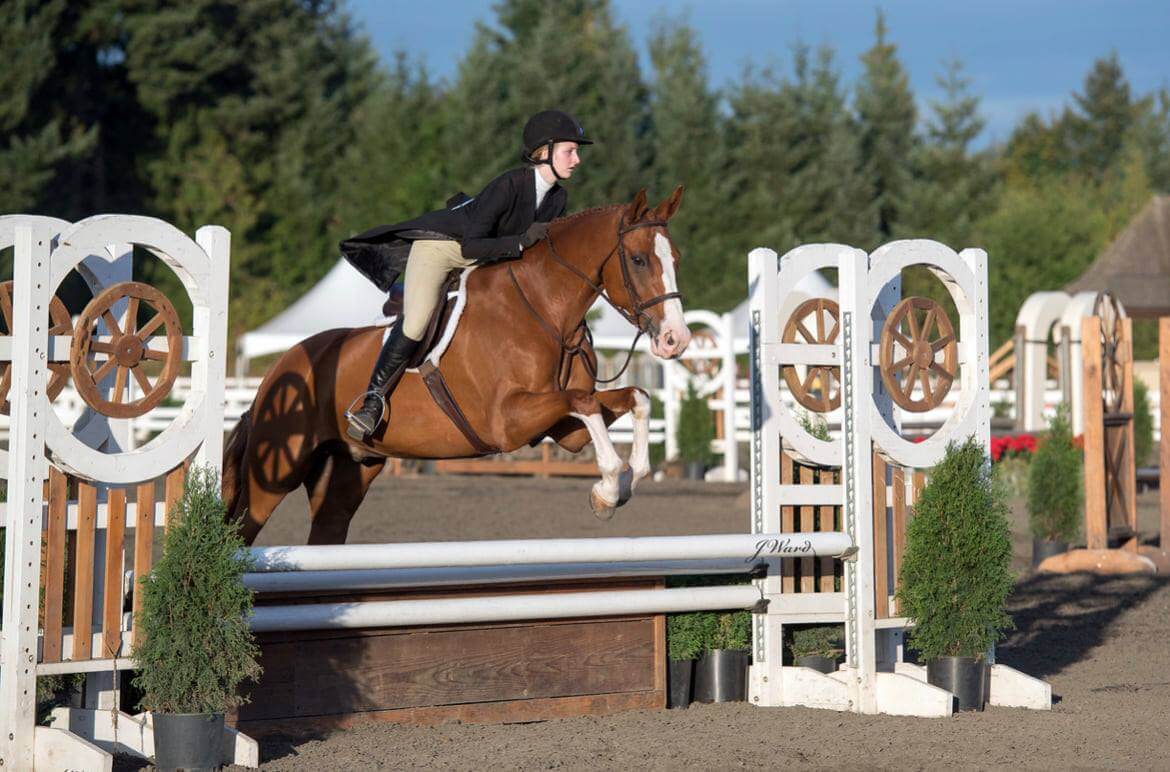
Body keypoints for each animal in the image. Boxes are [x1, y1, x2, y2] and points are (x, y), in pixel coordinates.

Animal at [221, 186, 692, 545]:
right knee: (241, 533)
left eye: (676, 259)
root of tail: (276, 373)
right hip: (274, 473)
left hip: (348, 472)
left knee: (326, 530)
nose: (676, 339)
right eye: (638, 260)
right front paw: (610, 488)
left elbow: (634, 397)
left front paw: (624, 483)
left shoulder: (562, 429)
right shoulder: (506, 421)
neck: (545, 309)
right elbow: (586, 402)